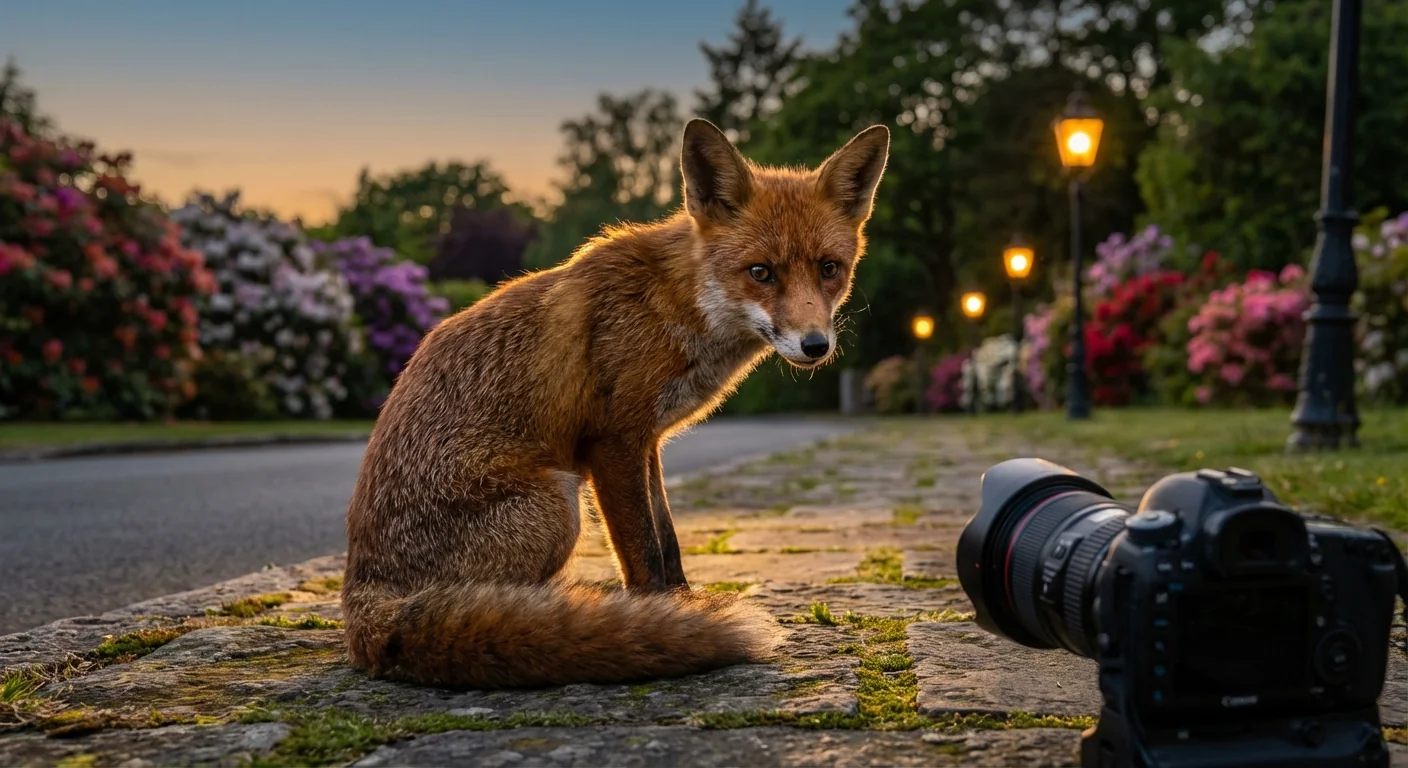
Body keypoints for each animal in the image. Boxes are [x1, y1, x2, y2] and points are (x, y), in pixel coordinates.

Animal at [341, 118, 890, 689]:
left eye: (829, 268)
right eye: (761, 272)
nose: (816, 345)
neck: (675, 307)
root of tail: (364, 601)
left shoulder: (646, 440)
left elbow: (667, 539)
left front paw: (680, 606)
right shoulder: (611, 444)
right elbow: (643, 550)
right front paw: (661, 619)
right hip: (558, 501)